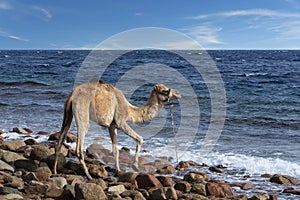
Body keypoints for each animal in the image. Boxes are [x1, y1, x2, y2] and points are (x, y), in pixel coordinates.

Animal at [53, 77, 182, 180]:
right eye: (164, 91)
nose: (178, 93)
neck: (129, 110)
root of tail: (73, 95)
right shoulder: (120, 121)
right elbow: (139, 138)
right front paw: (135, 166)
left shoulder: (112, 126)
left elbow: (116, 150)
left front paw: (118, 170)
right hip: (82, 112)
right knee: (79, 147)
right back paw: (89, 176)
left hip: (68, 112)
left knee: (61, 139)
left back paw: (54, 172)